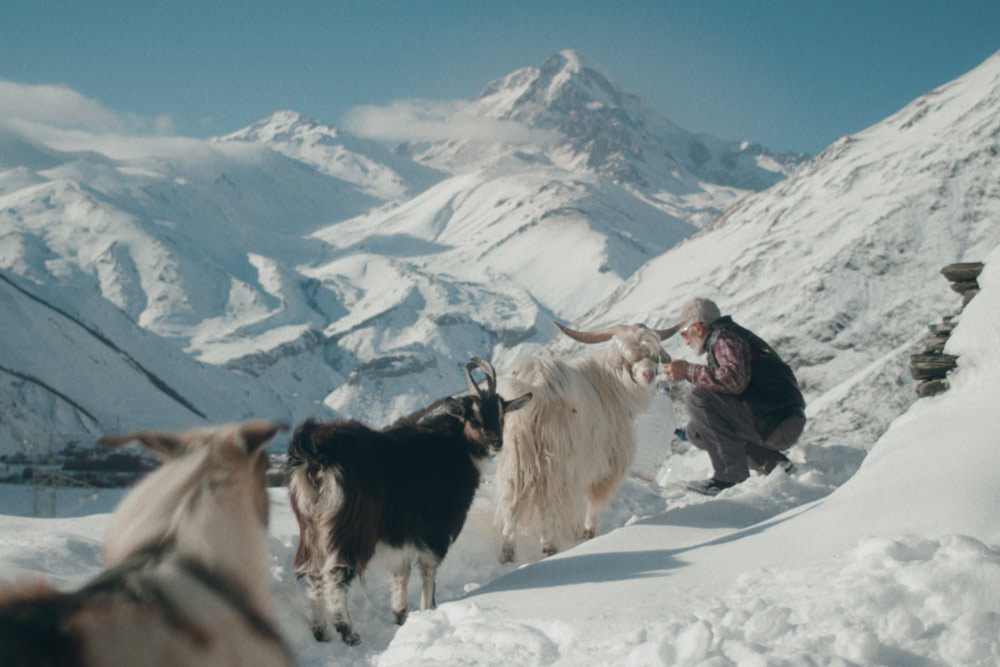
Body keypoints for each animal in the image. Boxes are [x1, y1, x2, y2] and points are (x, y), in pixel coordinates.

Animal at [286, 360, 532, 648]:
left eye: (502, 414)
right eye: (473, 417)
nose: (496, 442)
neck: (455, 447)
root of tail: (315, 452)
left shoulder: (401, 534)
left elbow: (400, 571)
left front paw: (400, 614)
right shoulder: (435, 530)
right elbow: (428, 570)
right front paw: (428, 609)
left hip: (309, 525)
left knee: (312, 572)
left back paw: (320, 631)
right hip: (350, 526)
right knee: (336, 573)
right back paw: (348, 632)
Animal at [494, 320, 680, 560]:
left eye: (654, 354)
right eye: (627, 356)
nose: (648, 374)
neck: (610, 383)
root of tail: (534, 385)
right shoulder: (605, 462)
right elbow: (593, 499)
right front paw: (589, 531)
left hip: (517, 454)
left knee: (513, 500)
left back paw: (508, 552)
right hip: (555, 457)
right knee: (547, 499)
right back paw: (549, 546)